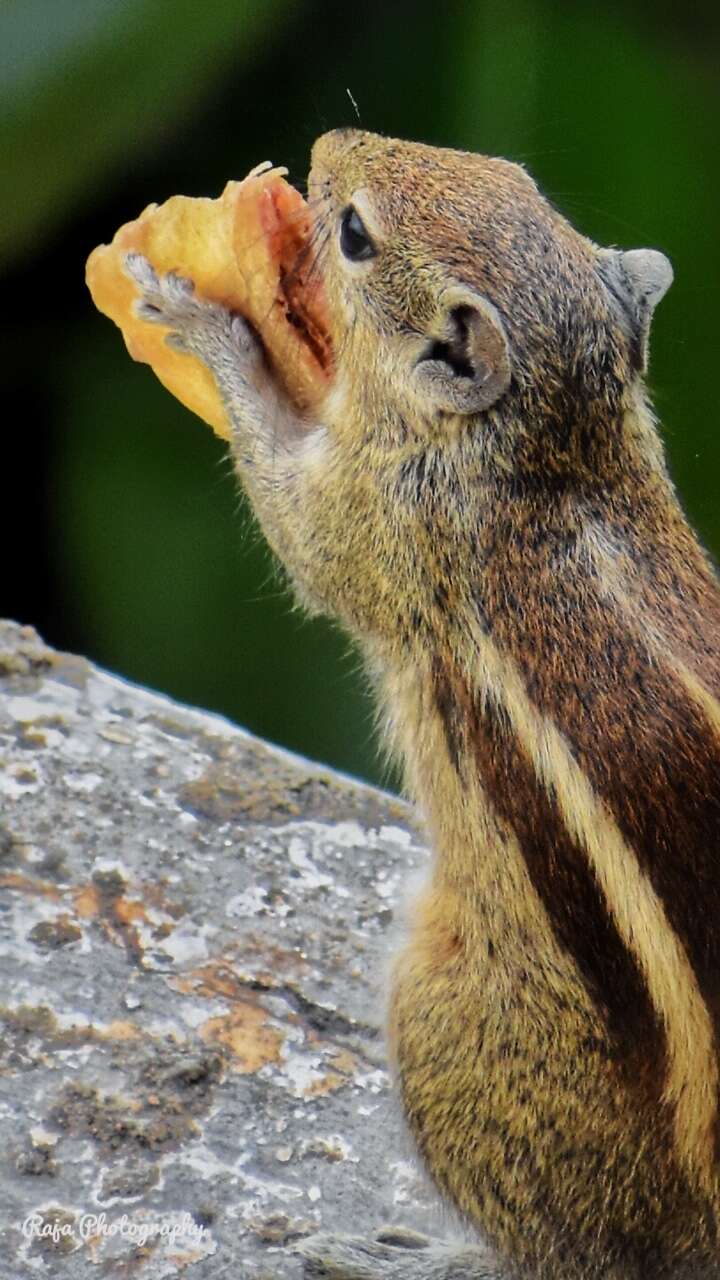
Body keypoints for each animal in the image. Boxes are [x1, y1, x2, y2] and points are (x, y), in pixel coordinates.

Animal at [122, 132, 717, 1280]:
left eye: (355, 234)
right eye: (512, 174)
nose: (322, 148)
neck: (554, 450)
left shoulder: (382, 519)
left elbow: (297, 520)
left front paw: (207, 324)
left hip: (450, 1029)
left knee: (584, 1253)